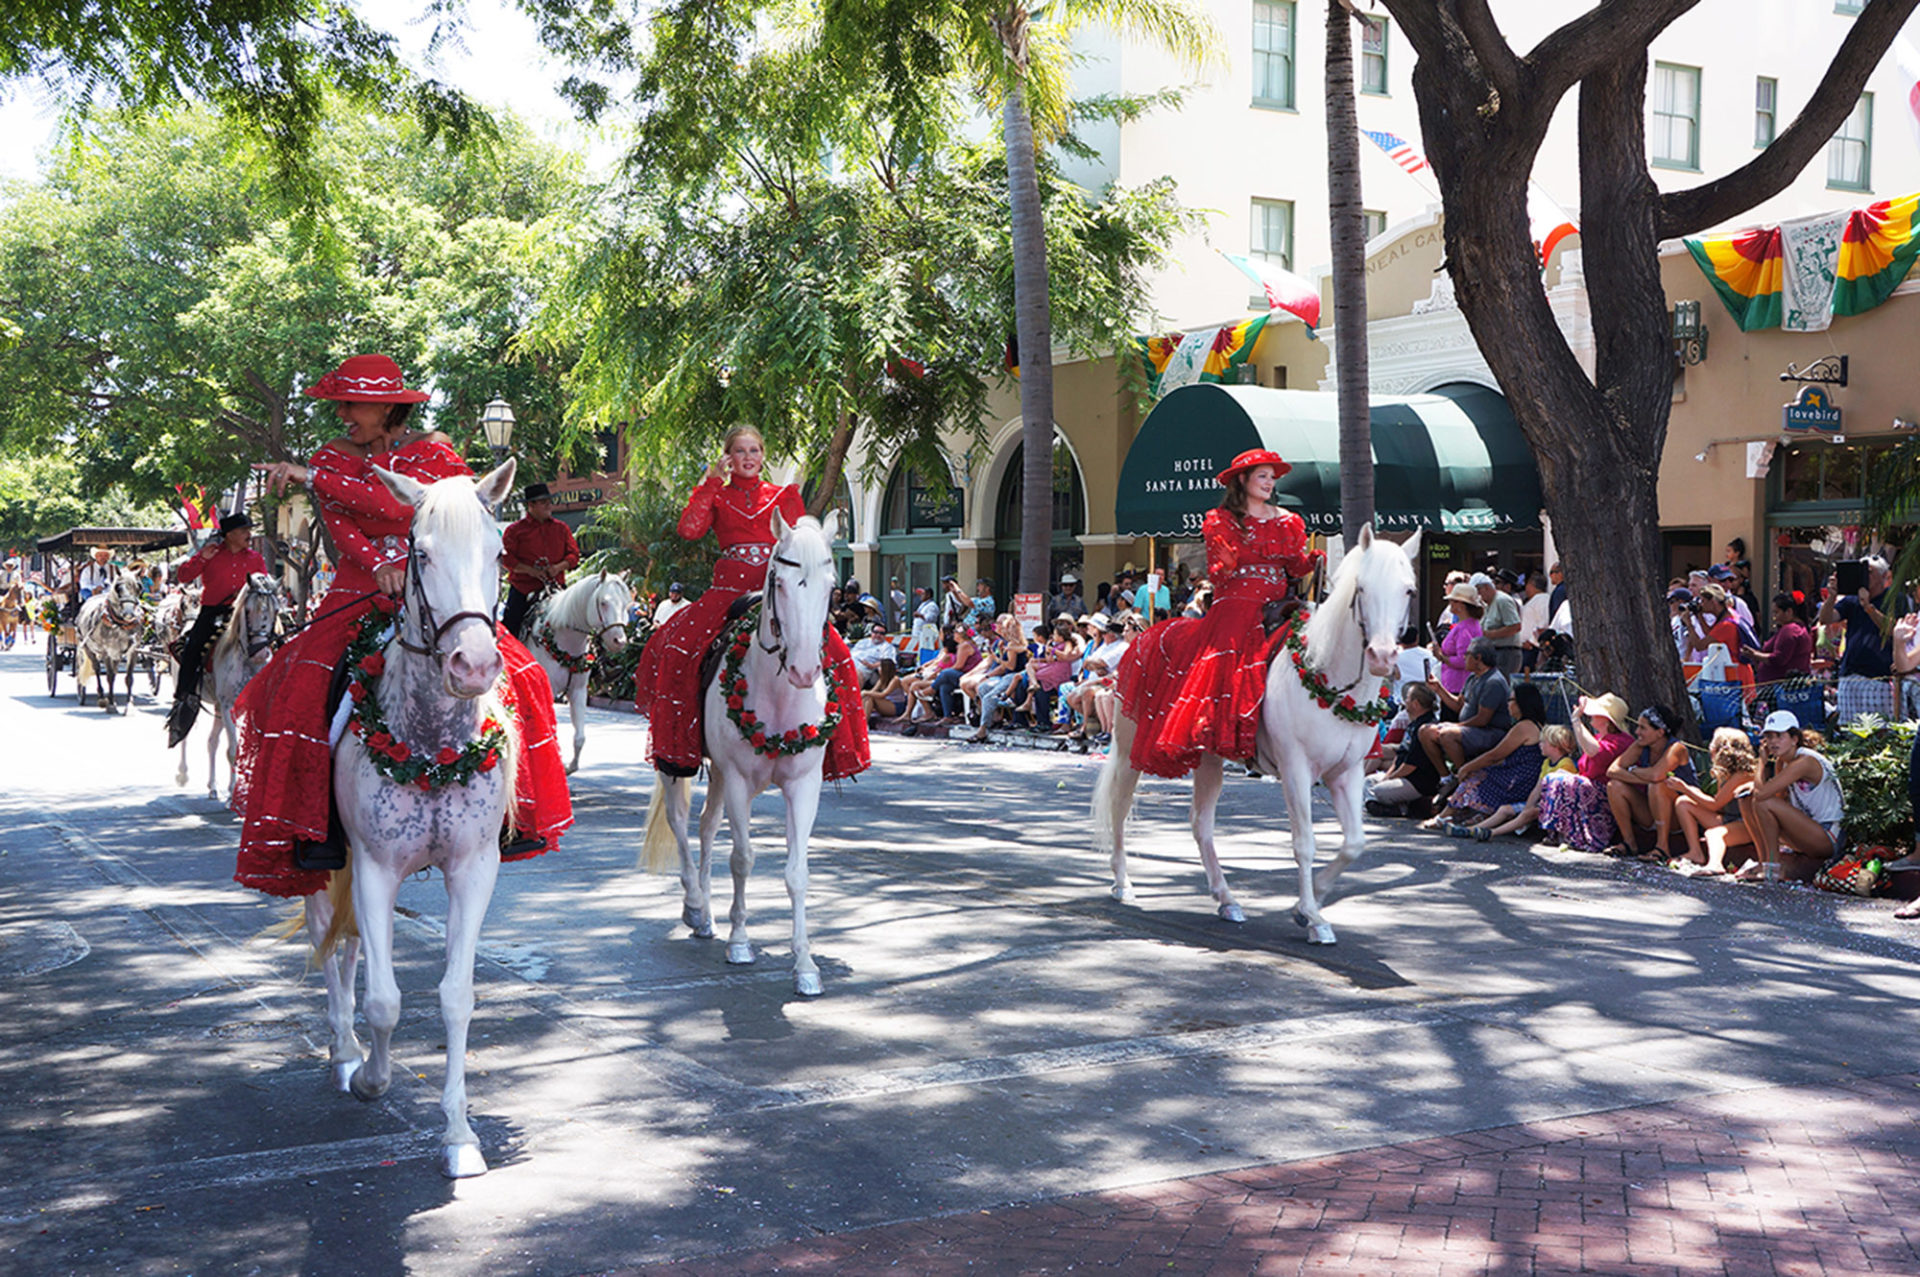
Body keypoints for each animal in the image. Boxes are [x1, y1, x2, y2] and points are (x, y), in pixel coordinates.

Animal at [74, 572, 144, 710]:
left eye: (138, 587)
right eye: (118, 588)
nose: (129, 613)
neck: (119, 624)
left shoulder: (133, 650)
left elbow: (128, 678)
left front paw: (129, 704)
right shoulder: (106, 651)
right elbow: (110, 676)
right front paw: (111, 703)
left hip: (116, 654)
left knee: (114, 670)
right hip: (87, 648)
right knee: (96, 668)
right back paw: (100, 695)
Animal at [314, 455, 526, 1175]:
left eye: (498, 552)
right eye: (422, 553)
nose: (475, 664)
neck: (430, 748)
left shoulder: (475, 868)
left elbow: (456, 996)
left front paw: (459, 1134)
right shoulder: (374, 866)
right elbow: (384, 1000)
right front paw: (373, 1077)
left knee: (349, 945)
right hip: (320, 860)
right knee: (330, 944)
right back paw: (344, 1049)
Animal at [526, 572, 637, 771]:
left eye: (627, 604)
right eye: (603, 602)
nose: (619, 641)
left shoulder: (578, 691)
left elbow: (579, 738)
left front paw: (570, 767)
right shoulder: (548, 690)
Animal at [645, 506, 840, 998]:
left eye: (831, 586)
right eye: (781, 582)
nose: (805, 670)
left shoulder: (803, 784)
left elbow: (796, 872)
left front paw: (805, 964)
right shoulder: (735, 778)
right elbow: (743, 858)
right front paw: (739, 941)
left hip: (718, 773)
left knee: (706, 825)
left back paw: (706, 915)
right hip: (677, 759)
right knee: (680, 821)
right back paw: (696, 904)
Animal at [1098, 522, 1413, 940]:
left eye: (1408, 590)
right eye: (1361, 587)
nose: (1382, 656)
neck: (1328, 678)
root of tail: (1144, 634)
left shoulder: (1347, 773)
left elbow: (1354, 844)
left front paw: (1308, 903)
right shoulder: (1296, 768)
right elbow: (1304, 842)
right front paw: (1312, 916)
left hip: (1208, 758)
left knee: (1201, 823)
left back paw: (1226, 899)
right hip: (1130, 745)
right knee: (1119, 804)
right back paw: (1122, 883)